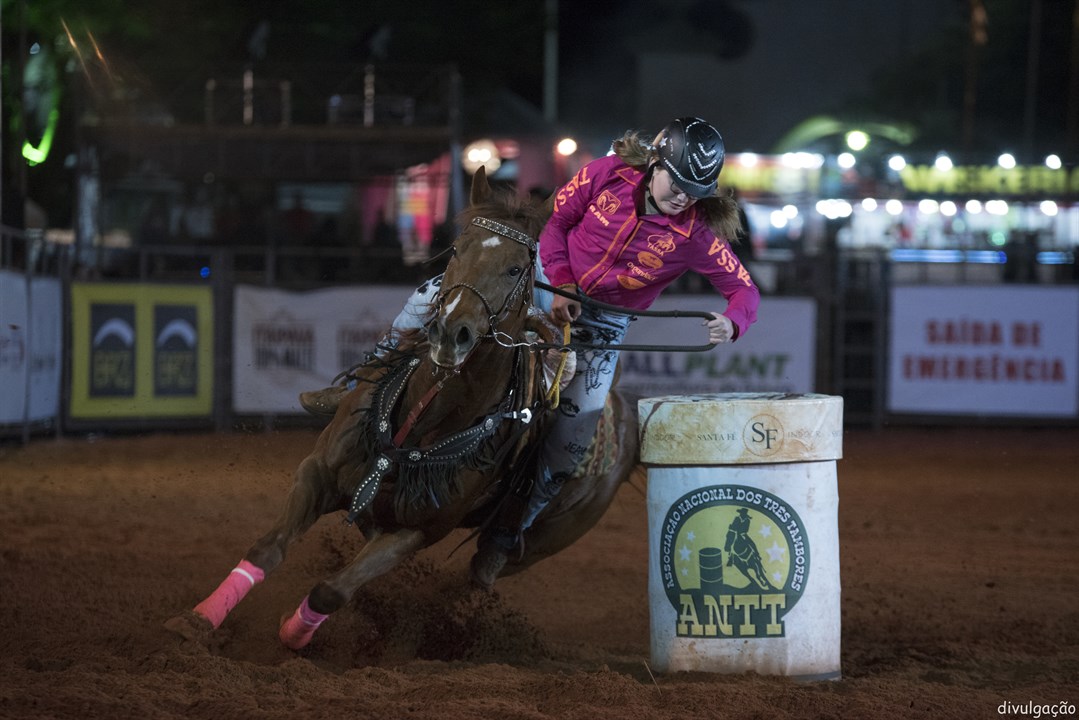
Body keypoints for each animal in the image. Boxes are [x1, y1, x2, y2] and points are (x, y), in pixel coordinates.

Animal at [165, 167, 640, 651]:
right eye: (457, 249)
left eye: (514, 269)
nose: (452, 333)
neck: (421, 420)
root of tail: (628, 415)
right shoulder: (319, 470)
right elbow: (269, 547)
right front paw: (198, 620)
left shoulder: (415, 532)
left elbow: (331, 590)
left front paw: (291, 632)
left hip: (540, 541)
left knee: (474, 578)